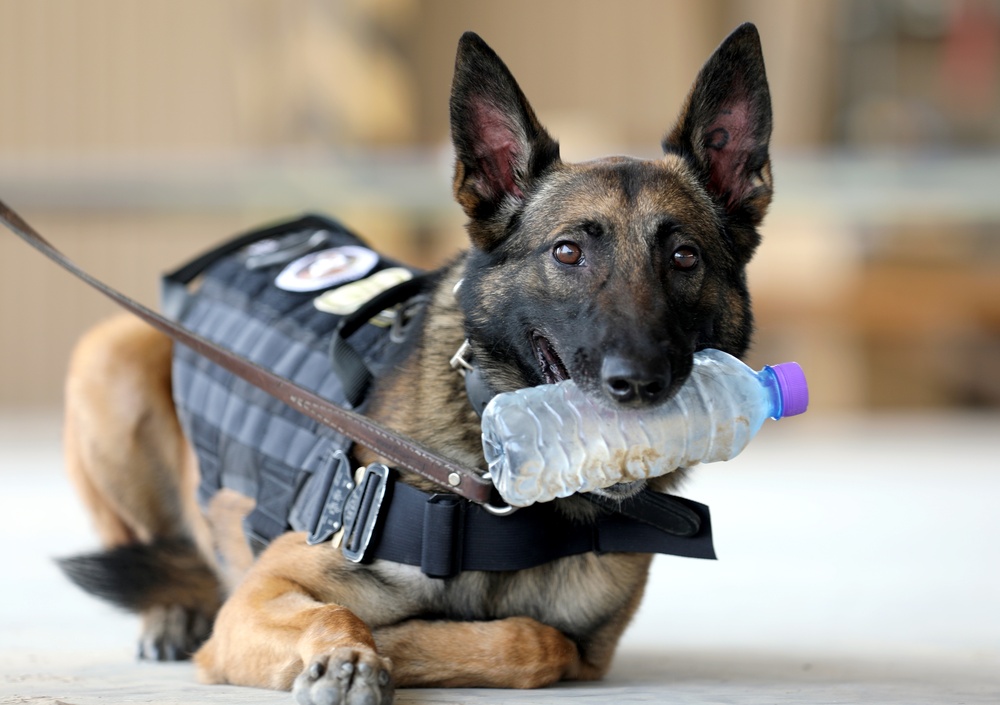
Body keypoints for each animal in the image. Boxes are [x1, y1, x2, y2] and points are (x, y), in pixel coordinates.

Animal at [60, 24, 772, 704]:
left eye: (683, 258)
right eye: (567, 252)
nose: (639, 382)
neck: (501, 490)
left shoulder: (587, 651)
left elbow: (532, 642)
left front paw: (405, 642)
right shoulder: (260, 594)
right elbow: (341, 613)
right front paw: (352, 653)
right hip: (108, 360)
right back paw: (170, 610)